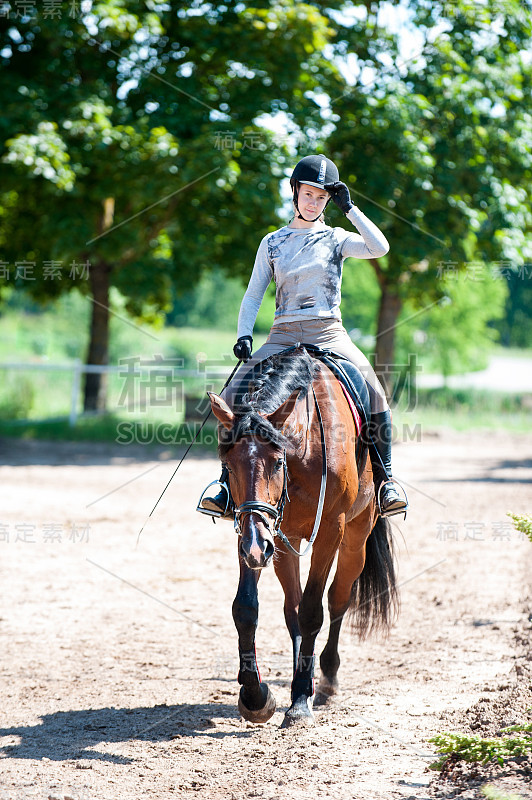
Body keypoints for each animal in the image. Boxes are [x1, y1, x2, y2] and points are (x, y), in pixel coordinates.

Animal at [207, 346, 394, 728]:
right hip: (281, 541)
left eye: (278, 463)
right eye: (228, 466)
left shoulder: (330, 530)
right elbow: (246, 608)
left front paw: (299, 705)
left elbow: (312, 611)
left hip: (354, 538)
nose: (255, 547)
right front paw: (255, 697)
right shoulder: (255, 532)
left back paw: (324, 683)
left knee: (338, 599)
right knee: (290, 605)